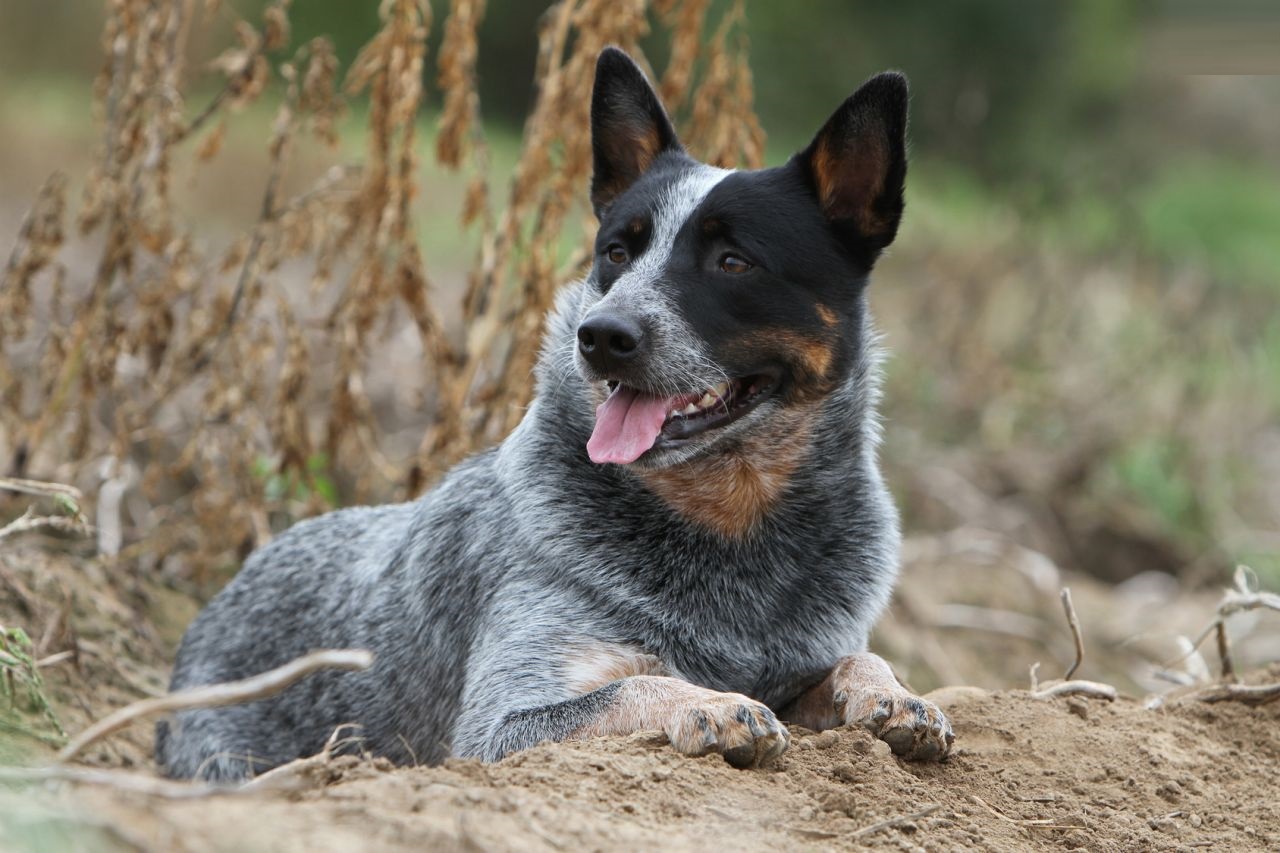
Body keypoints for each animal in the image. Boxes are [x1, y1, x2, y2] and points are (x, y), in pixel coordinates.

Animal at [157, 44, 952, 778]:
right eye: (616, 252)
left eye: (734, 261)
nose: (601, 334)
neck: (732, 531)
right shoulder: (501, 725)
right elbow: (637, 684)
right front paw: (715, 703)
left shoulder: (806, 657)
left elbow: (856, 661)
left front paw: (898, 695)